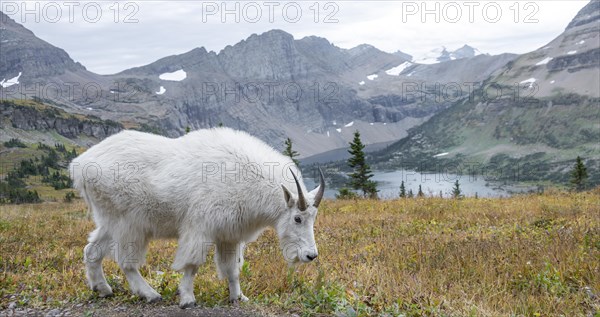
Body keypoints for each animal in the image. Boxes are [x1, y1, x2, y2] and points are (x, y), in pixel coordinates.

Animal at [69, 127, 324, 308]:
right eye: (297, 219)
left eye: (313, 217)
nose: (310, 256)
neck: (246, 177)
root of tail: (79, 166)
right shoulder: (200, 228)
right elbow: (192, 265)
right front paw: (187, 299)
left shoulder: (229, 236)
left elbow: (232, 269)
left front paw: (238, 297)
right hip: (129, 224)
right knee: (126, 262)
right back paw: (151, 294)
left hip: (108, 220)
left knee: (92, 250)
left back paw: (102, 289)